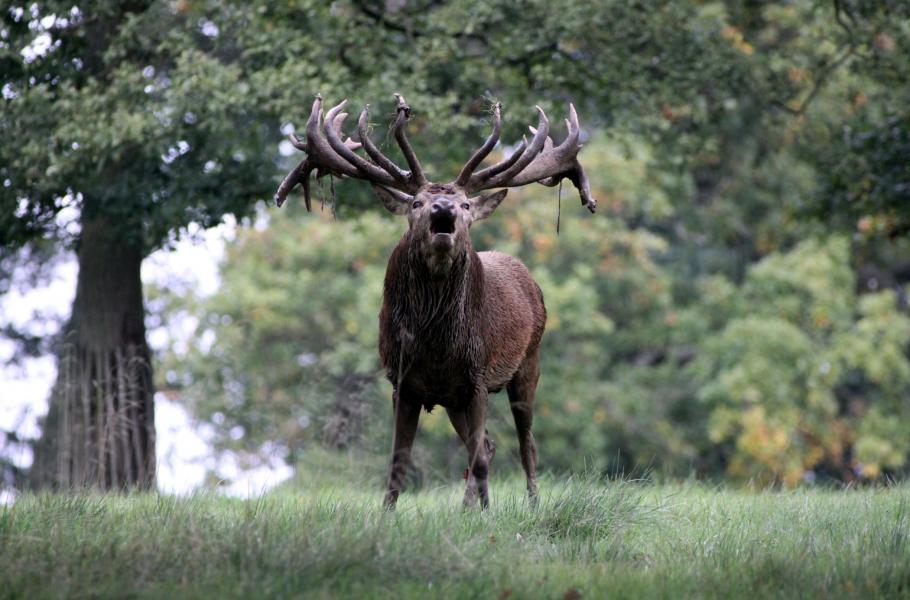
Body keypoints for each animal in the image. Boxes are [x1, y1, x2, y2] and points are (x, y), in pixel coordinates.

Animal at [275, 93, 595, 509]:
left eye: (465, 206)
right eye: (416, 203)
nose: (443, 209)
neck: (437, 346)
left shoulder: (477, 378)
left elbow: (479, 459)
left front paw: (489, 514)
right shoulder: (403, 381)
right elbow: (399, 459)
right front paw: (386, 515)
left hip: (528, 363)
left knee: (525, 444)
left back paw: (531, 504)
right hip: (454, 399)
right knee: (488, 445)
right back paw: (466, 507)